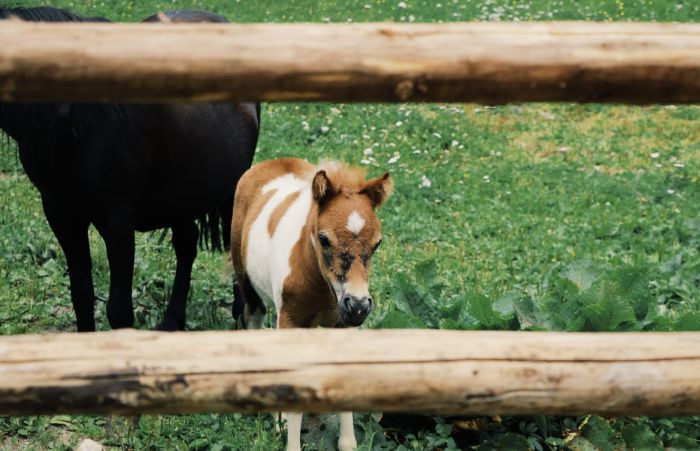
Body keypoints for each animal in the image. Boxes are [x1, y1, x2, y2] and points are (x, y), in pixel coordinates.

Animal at [0, 5, 260, 332]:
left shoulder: (117, 222)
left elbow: (119, 310)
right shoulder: (61, 214)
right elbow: (81, 294)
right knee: (186, 245)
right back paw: (172, 321)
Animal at [231, 157, 392, 450]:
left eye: (377, 243)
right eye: (324, 239)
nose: (358, 306)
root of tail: (272, 162)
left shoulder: (342, 326)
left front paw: (348, 443)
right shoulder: (291, 321)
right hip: (248, 283)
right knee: (254, 319)